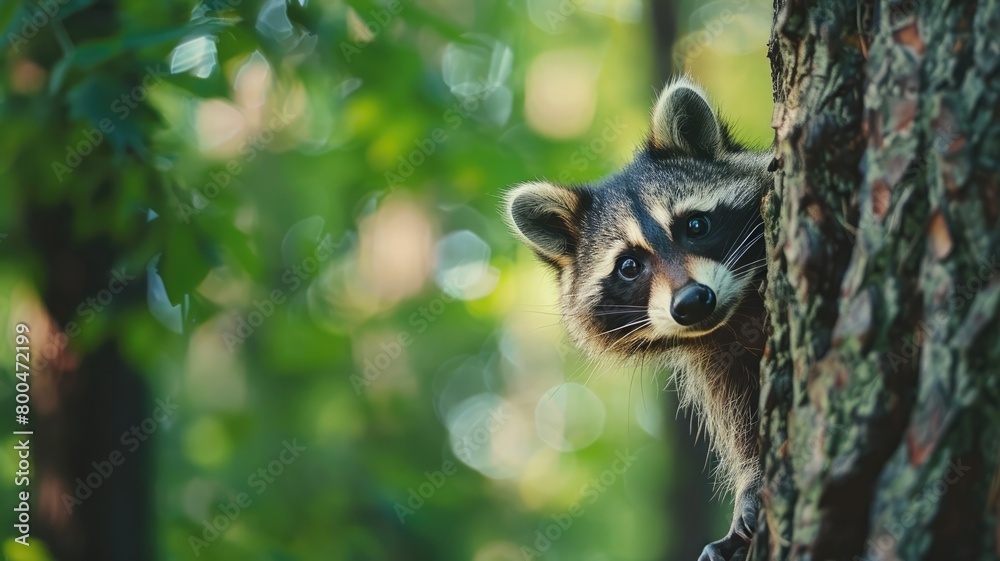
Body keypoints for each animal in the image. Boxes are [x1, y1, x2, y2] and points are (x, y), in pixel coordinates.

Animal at [504, 78, 771, 561]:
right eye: (629, 266)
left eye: (696, 226)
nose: (692, 302)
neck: (736, 313)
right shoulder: (719, 356)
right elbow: (741, 417)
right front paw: (752, 477)